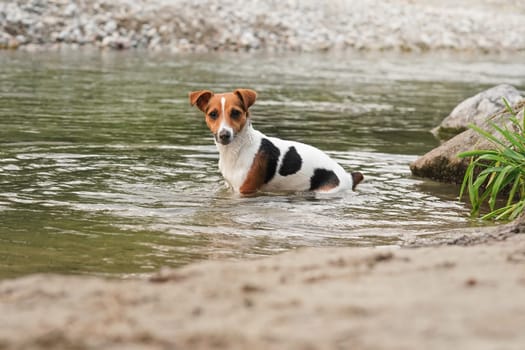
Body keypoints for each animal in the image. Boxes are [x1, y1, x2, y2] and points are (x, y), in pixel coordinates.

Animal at [189, 88, 364, 194]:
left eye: (236, 113)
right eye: (213, 114)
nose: (224, 135)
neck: (238, 148)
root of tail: (349, 176)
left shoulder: (245, 192)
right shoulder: (230, 188)